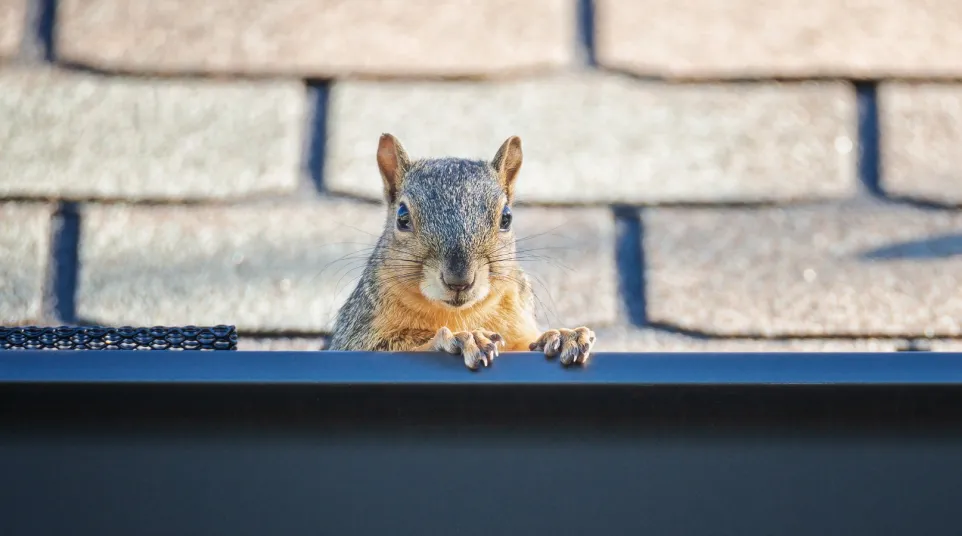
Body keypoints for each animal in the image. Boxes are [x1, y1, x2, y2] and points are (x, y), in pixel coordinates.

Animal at [328, 132, 592, 370]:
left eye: (506, 218)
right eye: (402, 217)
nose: (459, 281)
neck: (459, 313)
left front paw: (561, 336)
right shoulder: (356, 335)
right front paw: (463, 338)